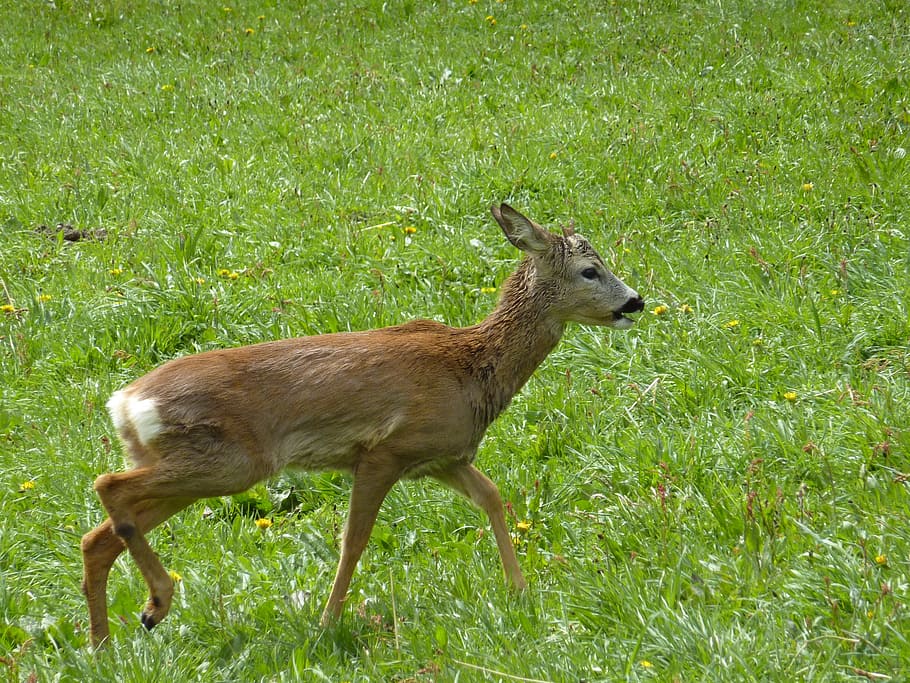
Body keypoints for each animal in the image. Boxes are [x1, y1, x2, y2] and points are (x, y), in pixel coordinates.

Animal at [80, 203, 644, 647]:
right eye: (590, 270)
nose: (635, 302)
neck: (472, 367)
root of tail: (124, 403)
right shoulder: (384, 452)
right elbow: (354, 539)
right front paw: (328, 622)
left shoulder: (440, 457)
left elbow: (491, 495)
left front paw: (520, 590)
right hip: (231, 462)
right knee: (108, 485)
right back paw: (156, 602)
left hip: (192, 469)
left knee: (99, 535)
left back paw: (108, 642)